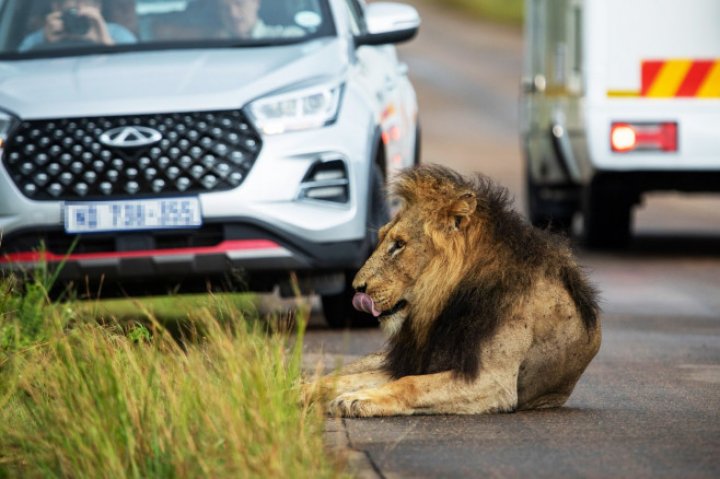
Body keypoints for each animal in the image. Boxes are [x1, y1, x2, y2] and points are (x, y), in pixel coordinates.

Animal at [304, 165, 600, 416]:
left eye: (399, 244)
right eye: (383, 239)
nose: (357, 288)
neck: (449, 300)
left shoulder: (492, 380)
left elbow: (410, 383)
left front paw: (360, 399)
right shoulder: (414, 362)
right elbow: (352, 379)